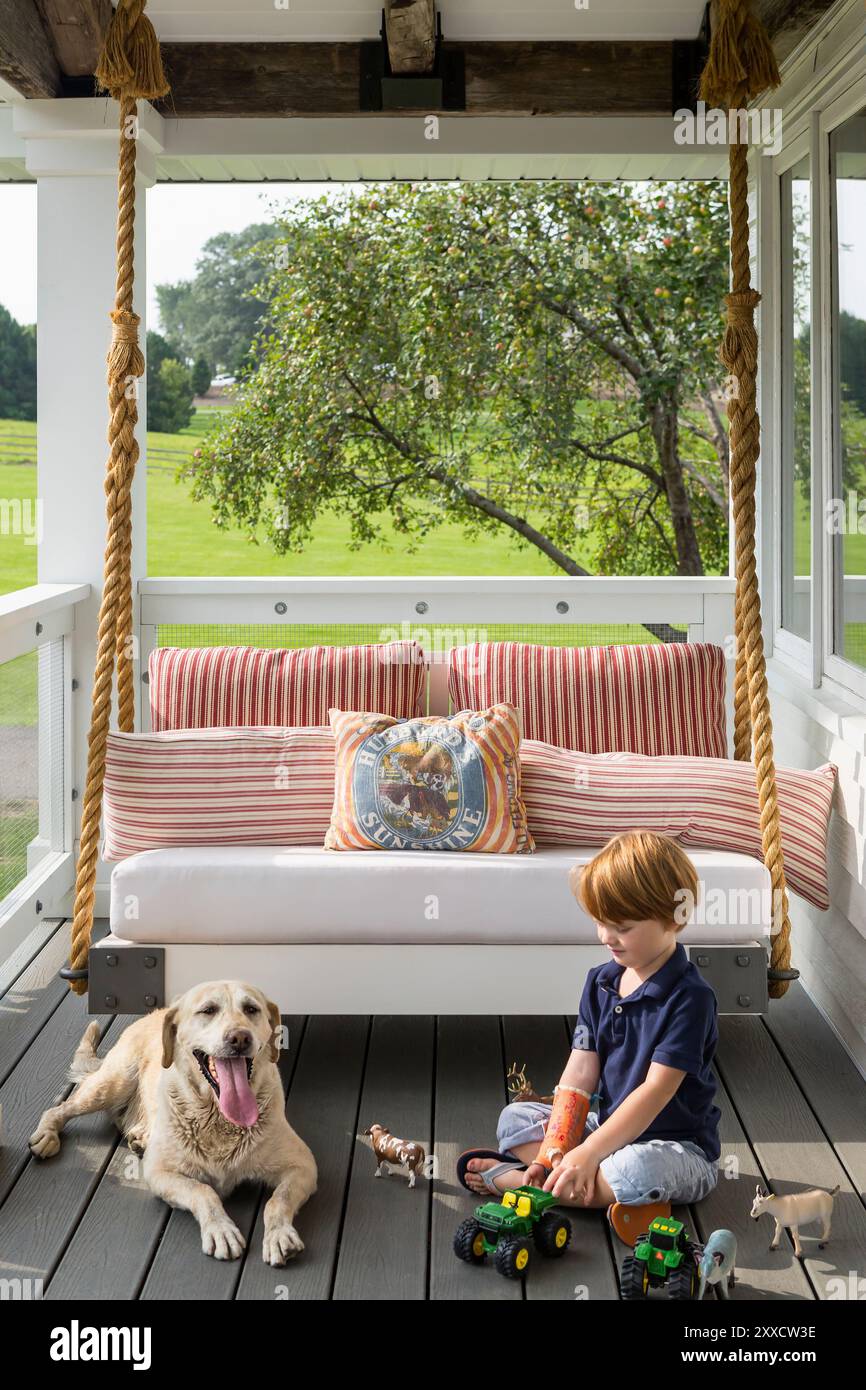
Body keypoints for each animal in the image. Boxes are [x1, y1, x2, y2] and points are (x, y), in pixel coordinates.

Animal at [28, 984, 316, 1267]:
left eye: (251, 1009)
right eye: (208, 1010)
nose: (240, 1038)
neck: (219, 1117)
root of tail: (153, 1014)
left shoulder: (303, 1166)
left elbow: (277, 1201)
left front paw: (279, 1234)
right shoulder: (160, 1173)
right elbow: (203, 1191)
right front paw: (220, 1229)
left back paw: (141, 1137)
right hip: (111, 1084)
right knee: (59, 1109)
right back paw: (46, 1135)